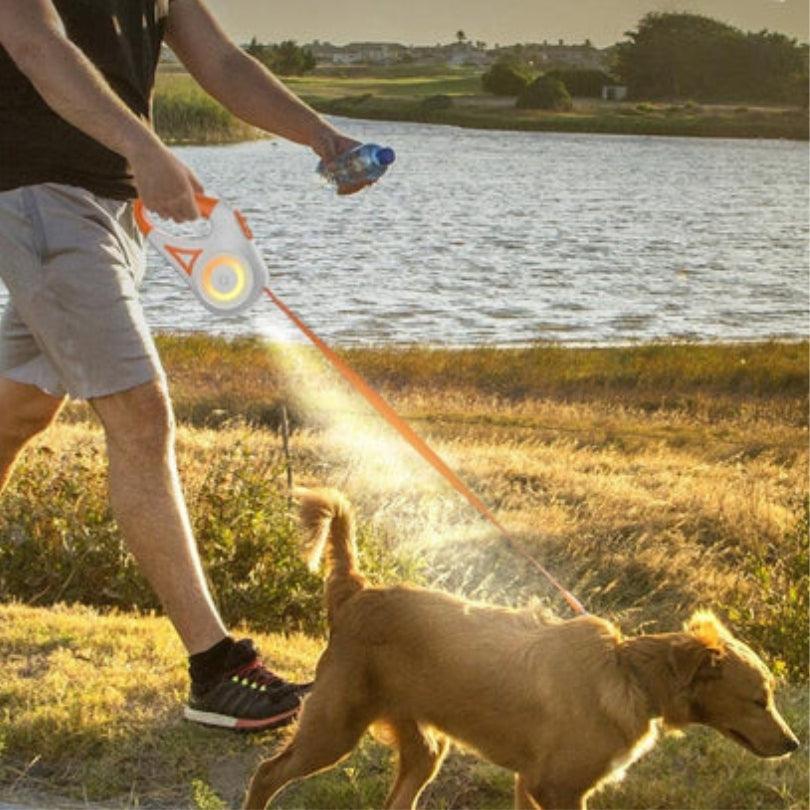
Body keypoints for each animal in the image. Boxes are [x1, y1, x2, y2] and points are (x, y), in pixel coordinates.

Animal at [243, 490, 800, 804]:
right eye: (758, 700)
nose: (794, 745)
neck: (628, 674)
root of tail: (357, 592)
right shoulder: (554, 787)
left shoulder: (529, 783)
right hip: (333, 727)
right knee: (266, 774)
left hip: (424, 749)